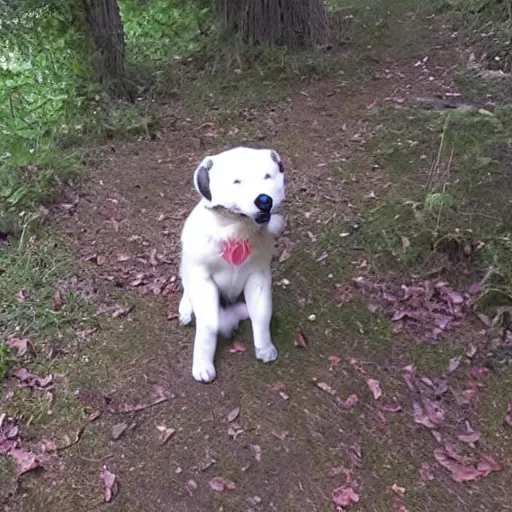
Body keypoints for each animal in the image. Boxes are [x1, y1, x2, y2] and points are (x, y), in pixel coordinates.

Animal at [179, 146, 284, 382]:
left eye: (268, 176)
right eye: (237, 181)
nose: (264, 200)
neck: (236, 232)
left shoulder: (258, 275)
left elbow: (262, 312)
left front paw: (265, 347)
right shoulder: (203, 278)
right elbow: (208, 325)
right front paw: (203, 364)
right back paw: (186, 309)